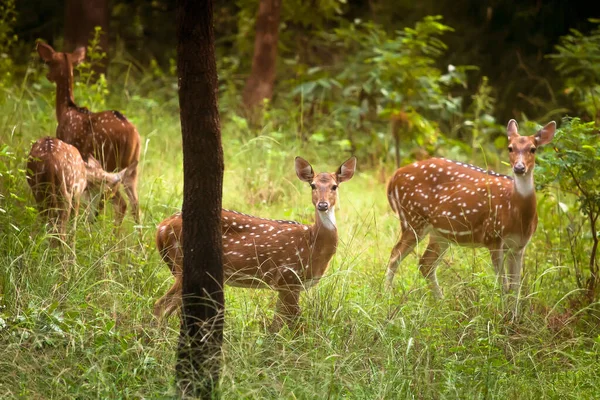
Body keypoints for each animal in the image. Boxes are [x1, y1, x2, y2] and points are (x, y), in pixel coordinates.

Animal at [36, 43, 142, 228]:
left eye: (48, 62)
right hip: (132, 167)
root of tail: (133, 136)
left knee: (120, 203)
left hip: (109, 161)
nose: (48, 76)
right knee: (135, 206)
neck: (66, 110)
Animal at [152, 158, 356, 330]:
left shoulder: (286, 285)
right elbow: (290, 324)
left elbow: (278, 324)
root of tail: (161, 227)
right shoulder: (289, 277)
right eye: (312, 185)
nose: (322, 205)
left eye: (334, 186)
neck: (313, 245)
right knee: (160, 306)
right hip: (184, 264)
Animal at [386, 120, 556, 298]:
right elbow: (503, 287)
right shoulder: (493, 237)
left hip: (440, 233)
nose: (519, 167)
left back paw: (441, 300)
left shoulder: (519, 246)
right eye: (510, 147)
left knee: (425, 264)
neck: (516, 213)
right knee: (395, 255)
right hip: (412, 218)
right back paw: (386, 295)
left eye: (533, 149)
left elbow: (515, 290)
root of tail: (394, 177)